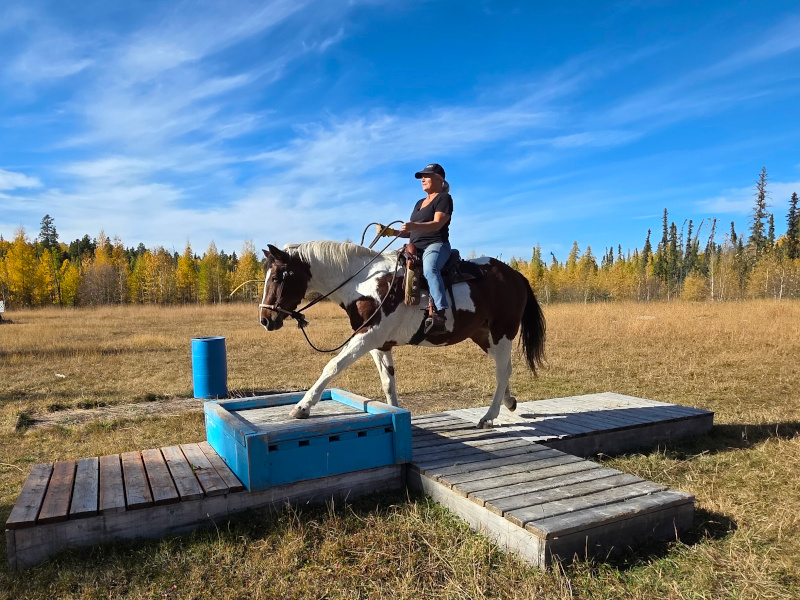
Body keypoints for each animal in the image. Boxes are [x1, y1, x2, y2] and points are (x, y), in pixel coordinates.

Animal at [258, 241, 545, 428]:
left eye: (278, 277)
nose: (265, 319)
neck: (363, 282)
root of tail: (516, 275)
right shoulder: (379, 344)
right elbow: (388, 382)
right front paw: (395, 412)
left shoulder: (367, 336)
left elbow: (333, 365)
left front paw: (302, 407)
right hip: (483, 335)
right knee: (504, 367)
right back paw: (509, 402)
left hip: (502, 332)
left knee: (502, 371)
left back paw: (488, 416)